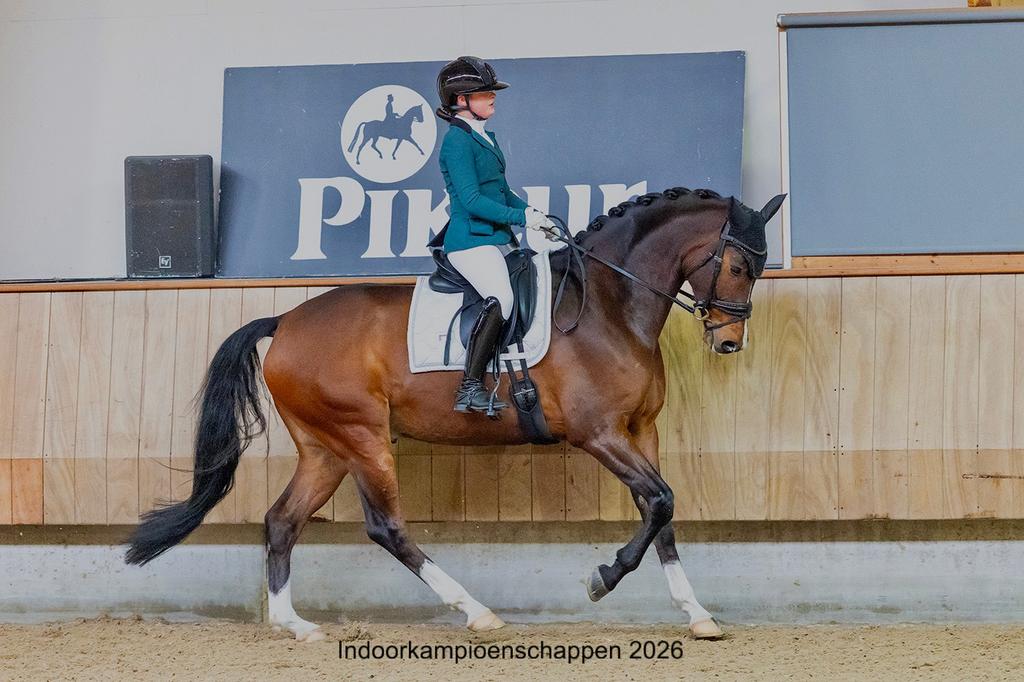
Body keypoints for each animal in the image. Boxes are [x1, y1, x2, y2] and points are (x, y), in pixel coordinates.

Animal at [125, 187, 786, 642]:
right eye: (737, 266)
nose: (730, 342)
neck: (608, 305)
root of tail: (285, 321)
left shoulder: (641, 432)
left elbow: (663, 512)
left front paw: (697, 615)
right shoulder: (599, 434)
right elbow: (661, 501)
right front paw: (603, 578)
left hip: (326, 448)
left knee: (282, 520)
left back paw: (297, 626)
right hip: (363, 436)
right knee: (385, 527)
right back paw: (477, 612)